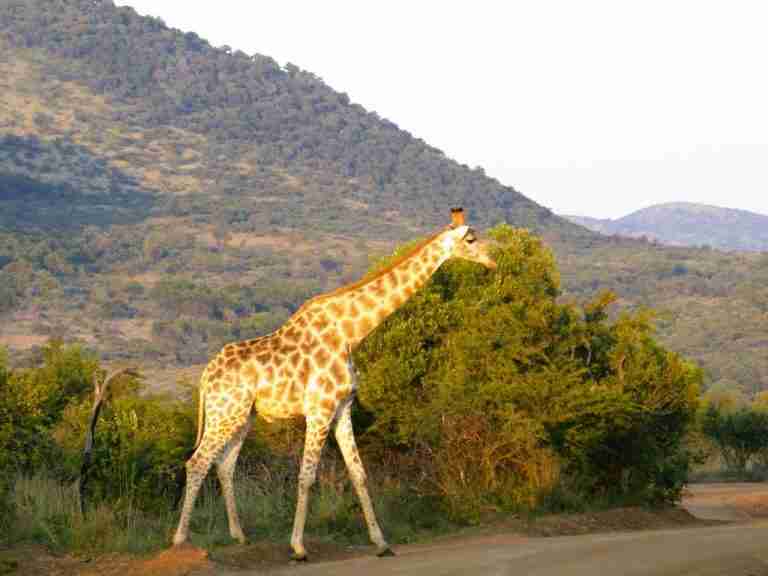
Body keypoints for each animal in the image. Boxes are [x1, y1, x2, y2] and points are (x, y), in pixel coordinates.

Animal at [172, 208, 496, 559]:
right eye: (471, 239)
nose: (493, 259)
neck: (350, 334)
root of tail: (205, 376)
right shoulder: (320, 409)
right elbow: (306, 476)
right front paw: (298, 547)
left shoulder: (343, 409)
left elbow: (359, 473)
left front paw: (381, 543)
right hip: (225, 413)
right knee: (197, 462)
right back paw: (180, 539)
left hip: (242, 416)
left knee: (224, 465)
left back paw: (239, 536)